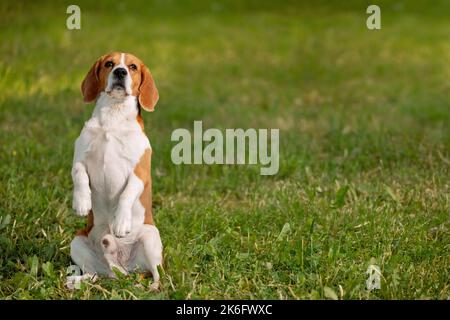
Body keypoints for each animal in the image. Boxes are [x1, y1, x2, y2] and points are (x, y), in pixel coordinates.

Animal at [67, 52, 163, 290]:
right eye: (109, 63)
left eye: (133, 66)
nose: (120, 72)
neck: (113, 116)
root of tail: (123, 265)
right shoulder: (79, 159)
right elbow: (79, 176)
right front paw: (82, 202)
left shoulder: (139, 172)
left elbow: (126, 194)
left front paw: (120, 222)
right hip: (77, 242)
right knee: (95, 274)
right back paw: (78, 280)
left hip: (150, 238)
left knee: (158, 274)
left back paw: (152, 287)